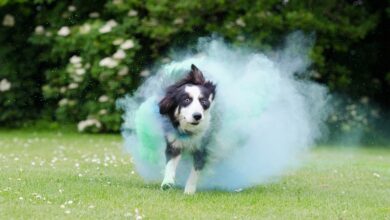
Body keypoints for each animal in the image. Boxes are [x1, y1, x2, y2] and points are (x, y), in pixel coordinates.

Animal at [160, 64, 218, 194]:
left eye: (203, 101)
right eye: (186, 100)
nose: (197, 116)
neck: (190, 130)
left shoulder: (203, 146)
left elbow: (196, 169)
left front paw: (189, 190)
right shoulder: (174, 142)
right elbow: (170, 163)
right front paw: (167, 182)